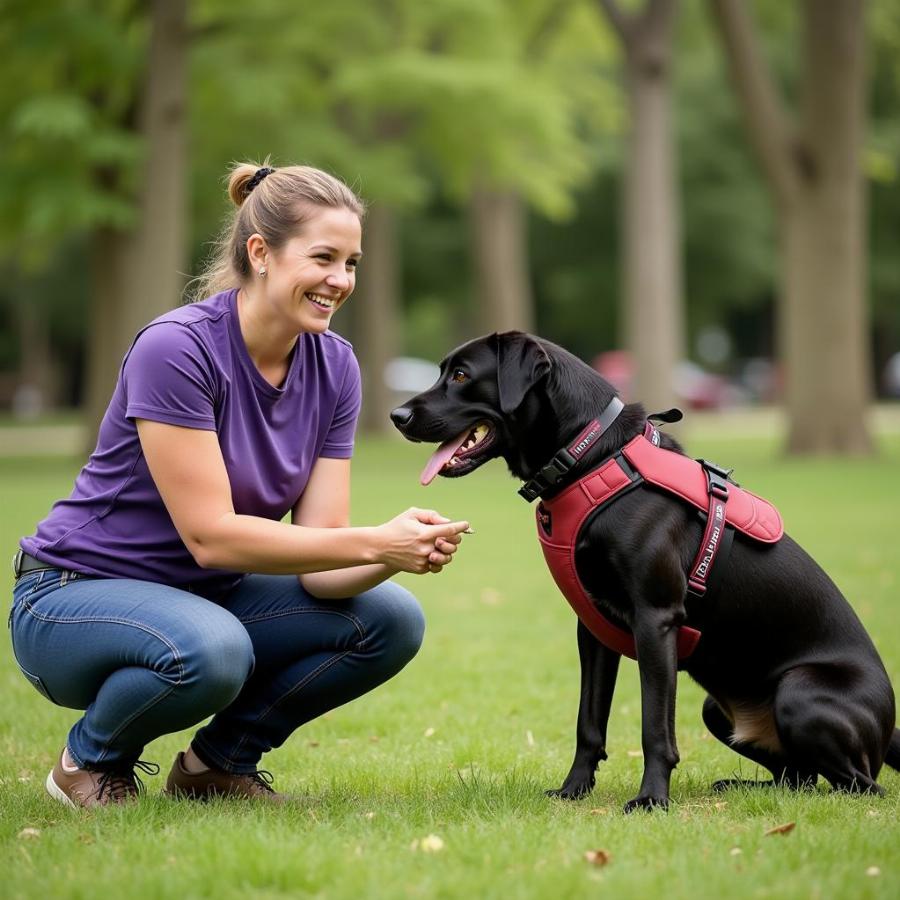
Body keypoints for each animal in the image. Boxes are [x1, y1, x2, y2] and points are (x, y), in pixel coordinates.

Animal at [392, 334, 900, 812]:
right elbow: (589, 722)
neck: (590, 457)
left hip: (799, 692)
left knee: (859, 785)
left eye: (461, 375)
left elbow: (654, 727)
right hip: (718, 709)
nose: (397, 415)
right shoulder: (592, 629)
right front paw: (574, 789)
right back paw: (740, 785)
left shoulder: (654, 620)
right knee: (799, 777)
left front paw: (652, 798)